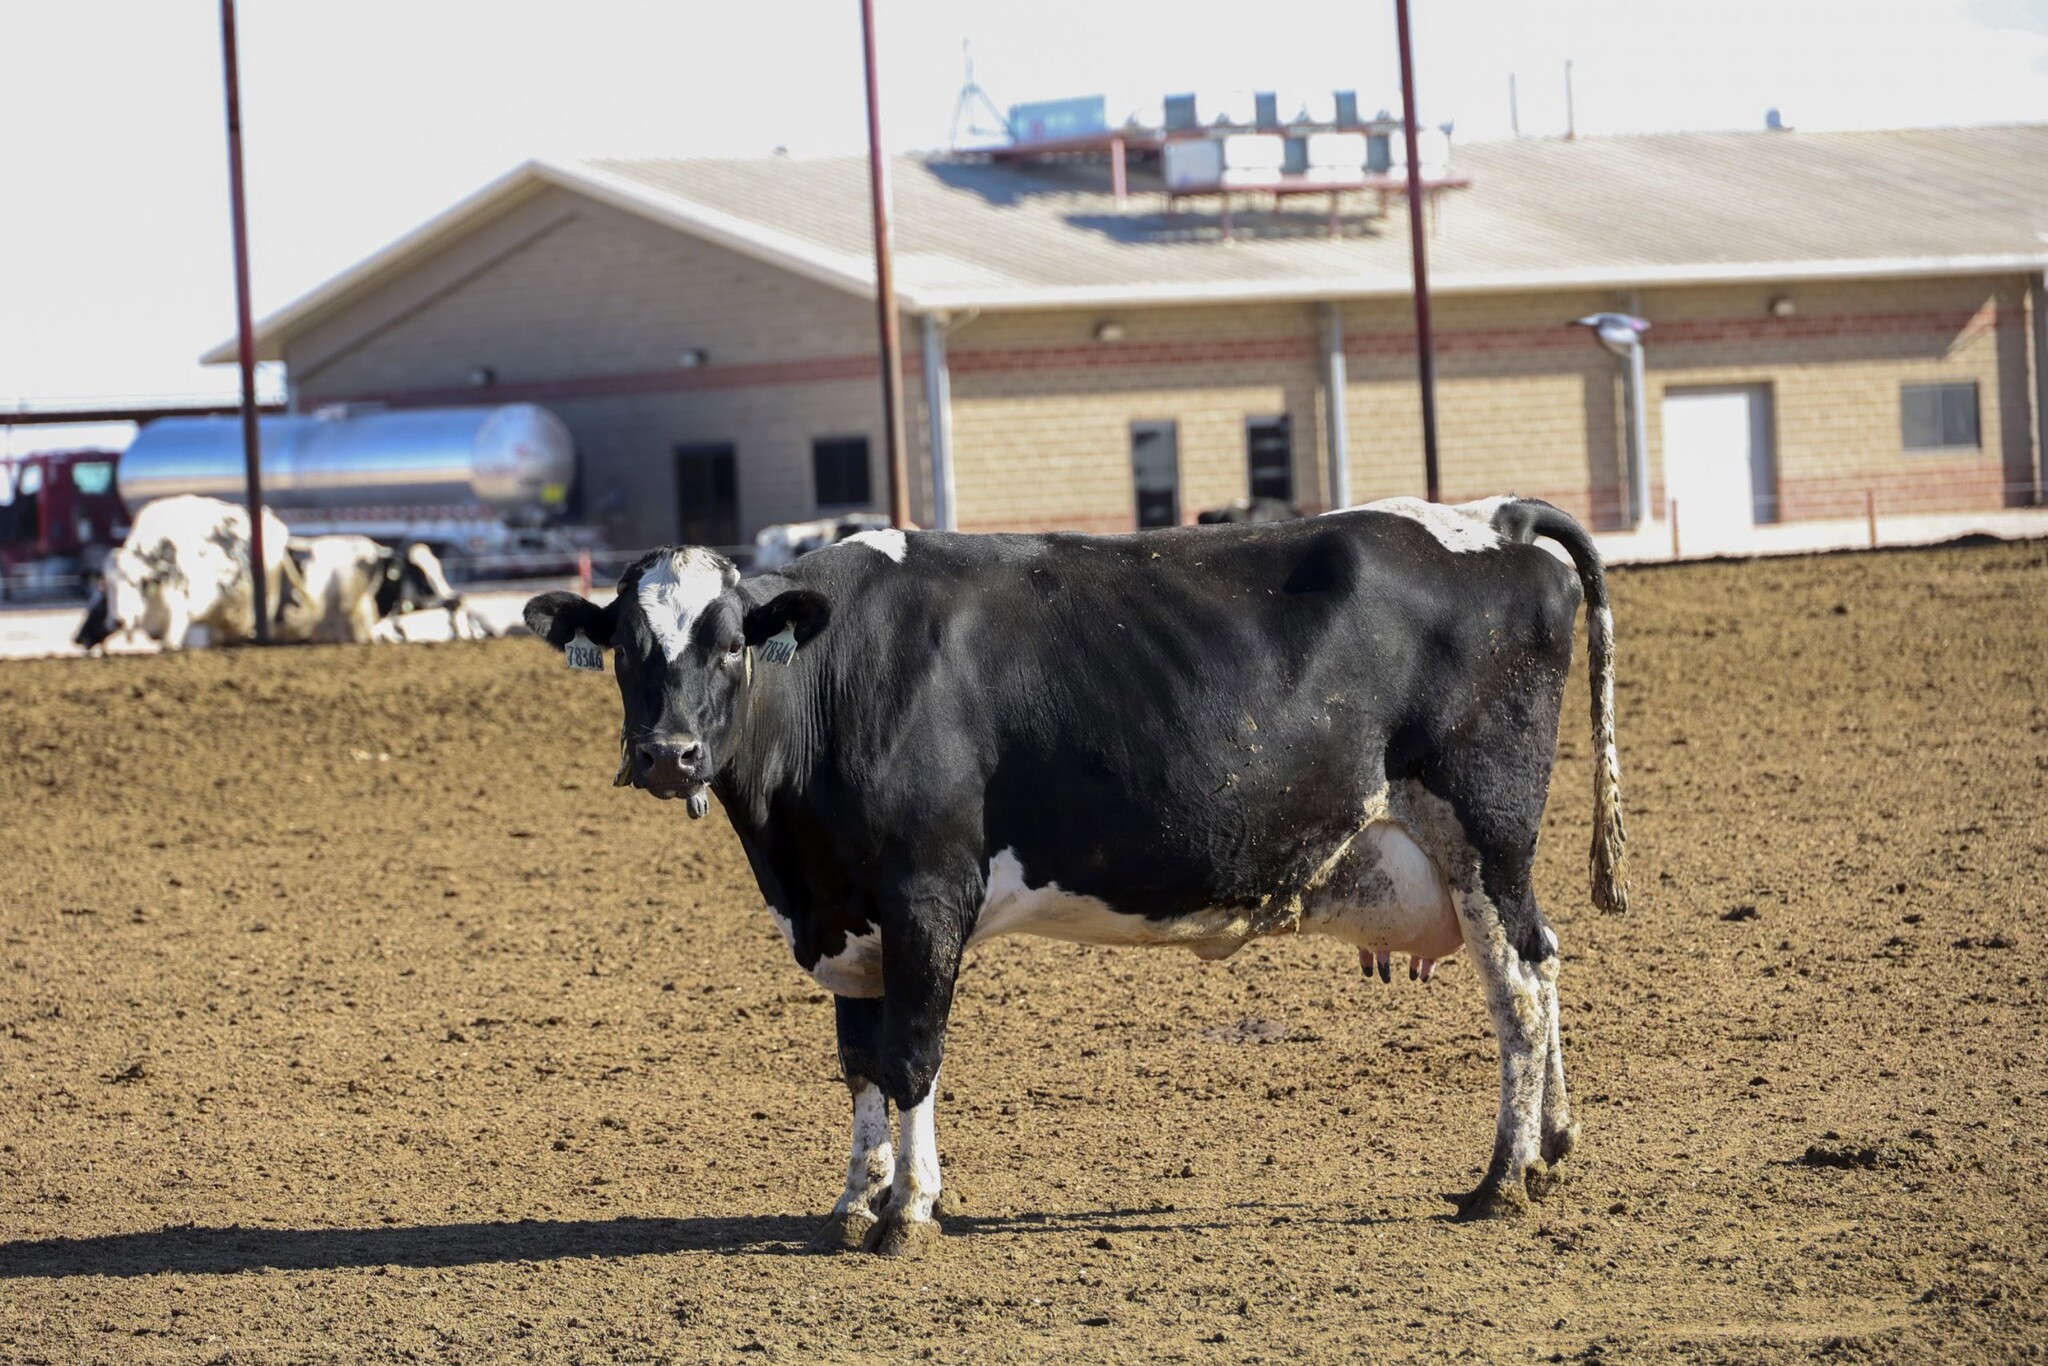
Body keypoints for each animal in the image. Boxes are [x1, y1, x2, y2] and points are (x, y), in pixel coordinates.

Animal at [528, 499, 1630, 1261]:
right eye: (628, 646)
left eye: (728, 644)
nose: (666, 753)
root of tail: (1495, 517)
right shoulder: (848, 917)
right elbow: (859, 1065)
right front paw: (851, 1200)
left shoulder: (926, 896)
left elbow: (911, 1058)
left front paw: (907, 1212)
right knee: (1545, 962)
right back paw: (1552, 1145)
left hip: (1483, 834)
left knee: (1518, 991)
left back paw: (1500, 1176)